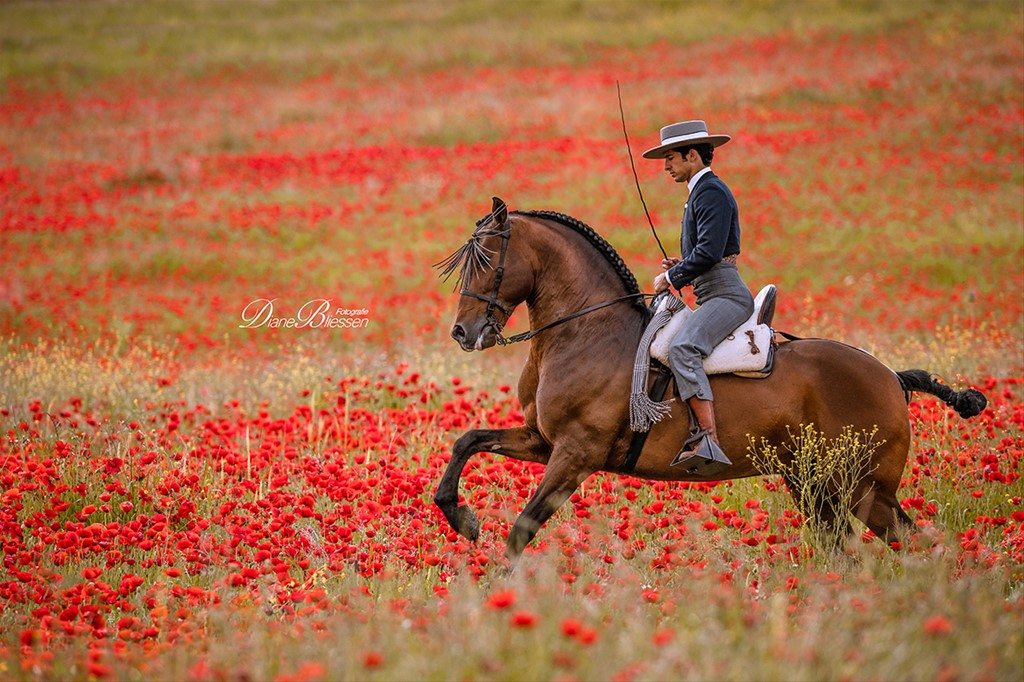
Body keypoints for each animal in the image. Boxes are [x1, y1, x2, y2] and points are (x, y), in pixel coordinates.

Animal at [436, 196, 987, 561]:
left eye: (487, 260)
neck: (585, 330)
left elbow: (521, 530)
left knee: (916, 543)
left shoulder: (576, 454)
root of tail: (892, 377)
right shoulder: (542, 441)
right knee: (851, 546)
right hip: (815, 485)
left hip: (861, 487)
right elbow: (468, 441)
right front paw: (463, 518)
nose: (462, 332)